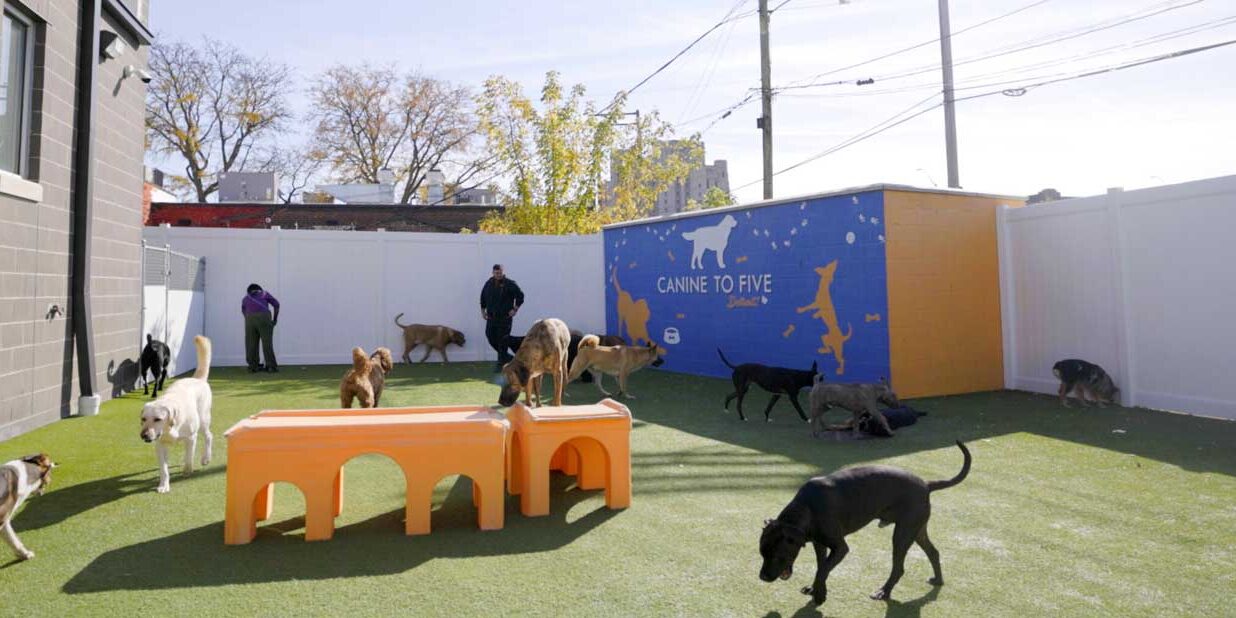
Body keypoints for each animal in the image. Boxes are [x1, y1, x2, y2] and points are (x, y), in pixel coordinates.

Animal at [141, 336, 215, 494]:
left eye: (158, 419)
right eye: (143, 419)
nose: (144, 435)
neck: (171, 428)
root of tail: (197, 379)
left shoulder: (191, 438)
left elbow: (189, 457)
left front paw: (187, 470)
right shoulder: (160, 445)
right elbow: (164, 469)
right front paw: (164, 485)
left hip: (203, 420)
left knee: (208, 436)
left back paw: (206, 458)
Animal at [756, 442, 969, 605]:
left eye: (778, 555)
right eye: (762, 553)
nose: (763, 578)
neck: (806, 508)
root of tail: (926, 484)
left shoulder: (840, 548)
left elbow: (823, 569)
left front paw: (819, 594)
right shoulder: (820, 544)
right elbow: (821, 567)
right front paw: (817, 589)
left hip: (902, 535)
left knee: (898, 568)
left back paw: (884, 591)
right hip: (916, 531)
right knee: (933, 552)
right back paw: (938, 579)